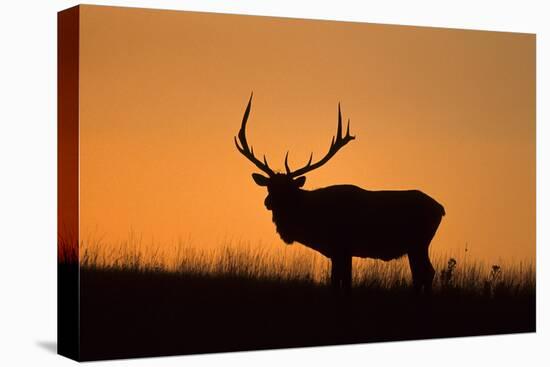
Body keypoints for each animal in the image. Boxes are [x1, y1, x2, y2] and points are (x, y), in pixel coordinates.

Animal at [235, 95, 446, 296]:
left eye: (288, 188)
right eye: (269, 187)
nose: (268, 202)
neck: (312, 222)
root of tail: (441, 209)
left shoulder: (340, 246)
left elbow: (339, 283)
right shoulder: (341, 251)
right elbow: (343, 282)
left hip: (419, 242)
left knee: (426, 273)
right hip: (415, 246)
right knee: (421, 274)